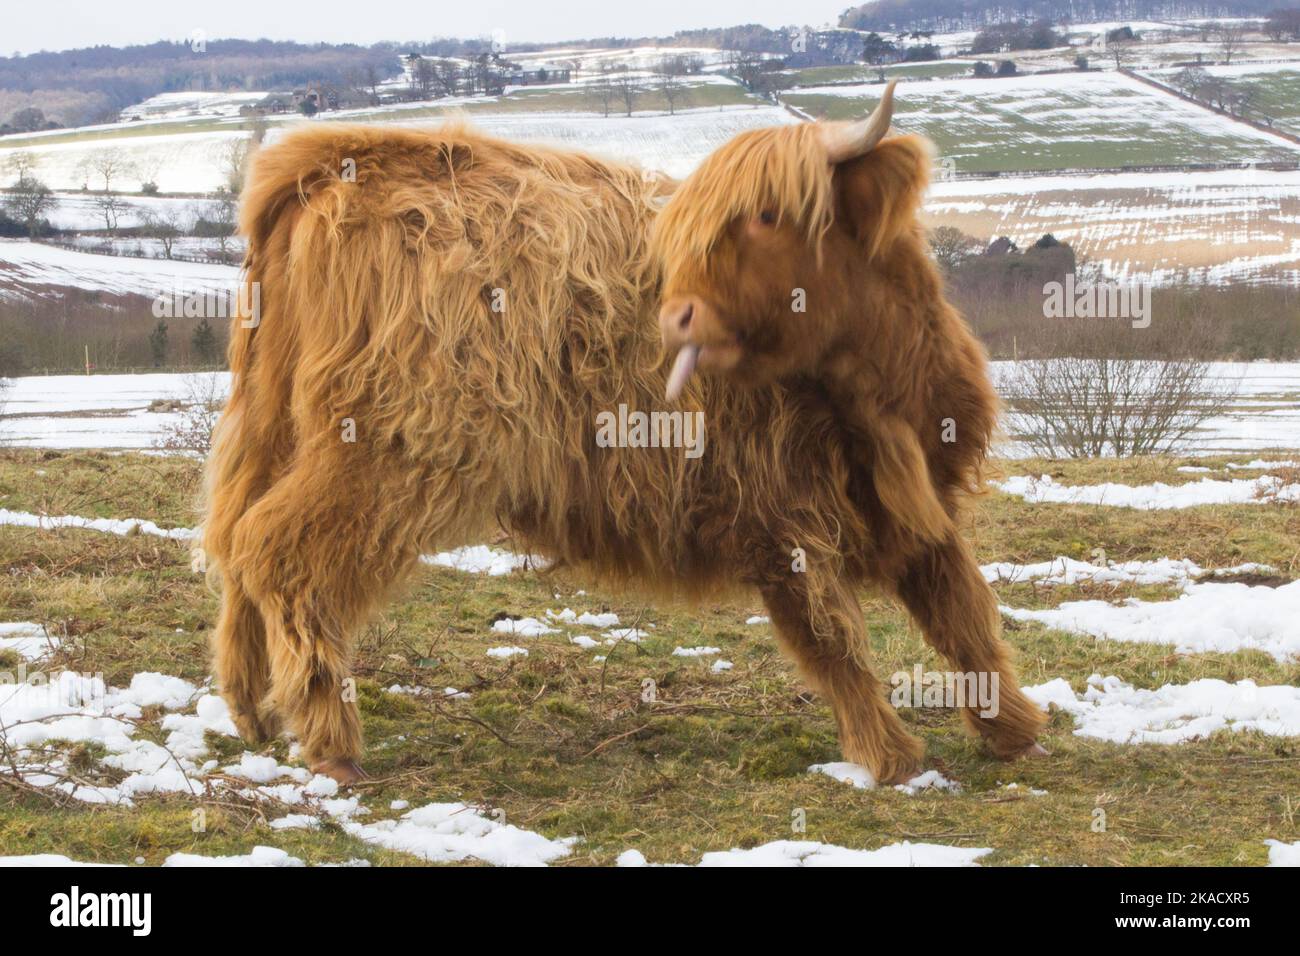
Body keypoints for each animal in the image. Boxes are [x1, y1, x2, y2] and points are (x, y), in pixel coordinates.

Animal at [208, 82, 1050, 785]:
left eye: (768, 215)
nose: (675, 317)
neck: (869, 389)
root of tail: (336, 165)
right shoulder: (775, 518)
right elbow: (832, 638)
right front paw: (892, 756)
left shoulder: (915, 502)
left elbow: (963, 614)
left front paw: (1011, 729)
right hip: (389, 448)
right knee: (277, 549)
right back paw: (330, 739)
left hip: (270, 422)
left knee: (233, 539)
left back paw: (250, 708)